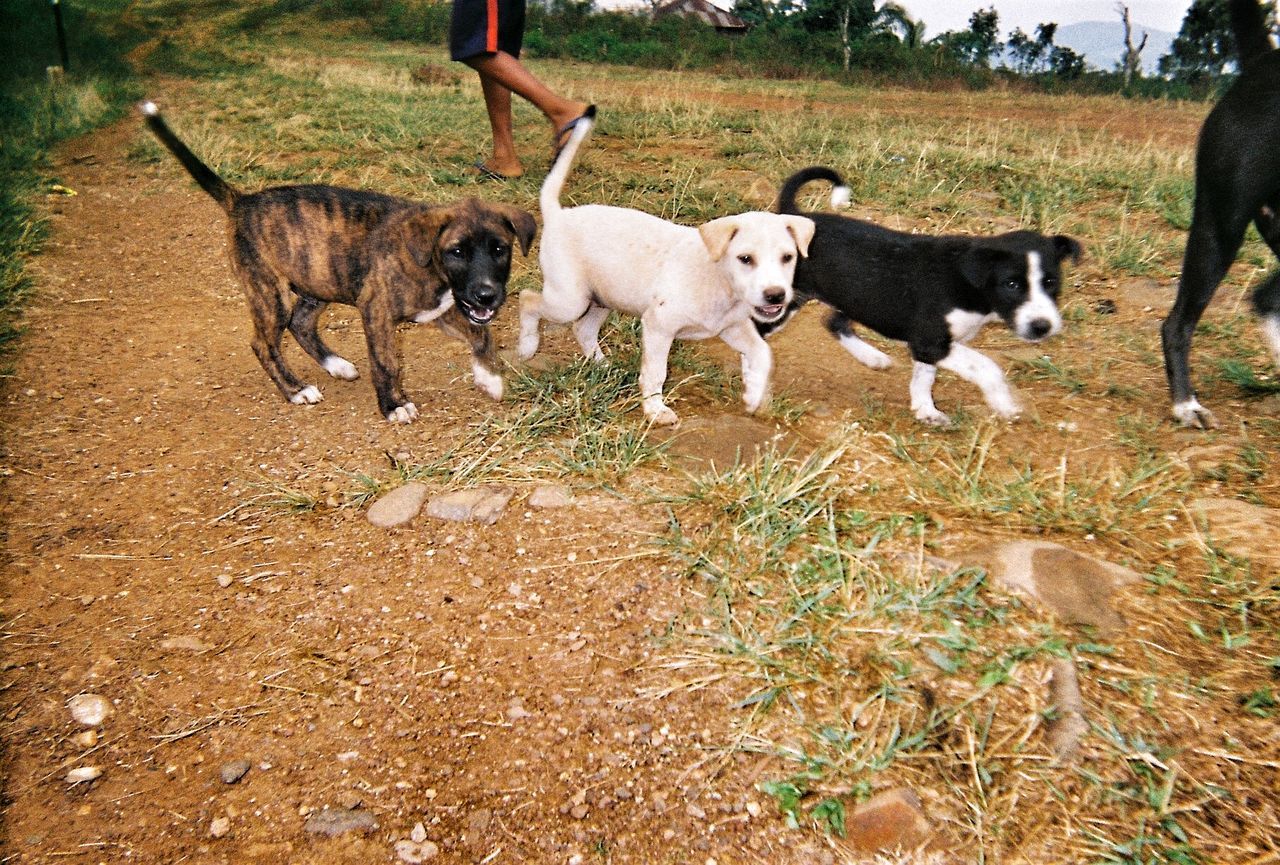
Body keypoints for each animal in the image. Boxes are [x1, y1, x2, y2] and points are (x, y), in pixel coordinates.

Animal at [138, 100, 535, 422]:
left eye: (500, 250)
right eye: (457, 252)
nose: (487, 295)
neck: (429, 264)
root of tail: (242, 202)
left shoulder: (443, 308)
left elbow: (482, 335)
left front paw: (489, 377)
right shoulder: (377, 311)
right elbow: (387, 361)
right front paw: (394, 405)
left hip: (316, 282)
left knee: (300, 324)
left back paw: (336, 365)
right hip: (270, 292)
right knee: (264, 343)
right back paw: (296, 390)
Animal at [517, 108, 808, 424]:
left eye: (788, 257)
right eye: (745, 259)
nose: (776, 295)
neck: (719, 280)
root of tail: (558, 214)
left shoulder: (733, 328)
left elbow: (762, 353)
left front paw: (756, 395)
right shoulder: (659, 326)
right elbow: (656, 372)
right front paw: (655, 409)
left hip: (601, 297)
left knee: (583, 329)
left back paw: (601, 365)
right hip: (569, 300)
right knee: (527, 299)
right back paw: (527, 346)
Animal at [762, 166, 1085, 424]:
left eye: (1051, 282)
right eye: (1012, 284)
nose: (1042, 327)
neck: (969, 283)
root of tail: (796, 216)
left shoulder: (930, 346)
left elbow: (923, 378)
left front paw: (925, 411)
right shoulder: (931, 342)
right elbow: (987, 366)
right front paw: (1003, 404)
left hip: (851, 298)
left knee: (834, 321)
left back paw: (872, 357)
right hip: (780, 305)